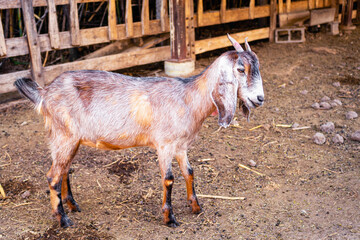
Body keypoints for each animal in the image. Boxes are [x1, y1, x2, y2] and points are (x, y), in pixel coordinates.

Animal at [14, 33, 264, 227]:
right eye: (240, 69)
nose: (260, 98)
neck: (188, 98)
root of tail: (45, 93)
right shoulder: (164, 145)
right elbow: (169, 178)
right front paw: (169, 218)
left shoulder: (181, 146)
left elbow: (189, 172)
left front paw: (196, 207)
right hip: (63, 135)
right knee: (53, 176)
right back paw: (63, 220)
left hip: (70, 140)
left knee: (64, 170)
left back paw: (73, 206)